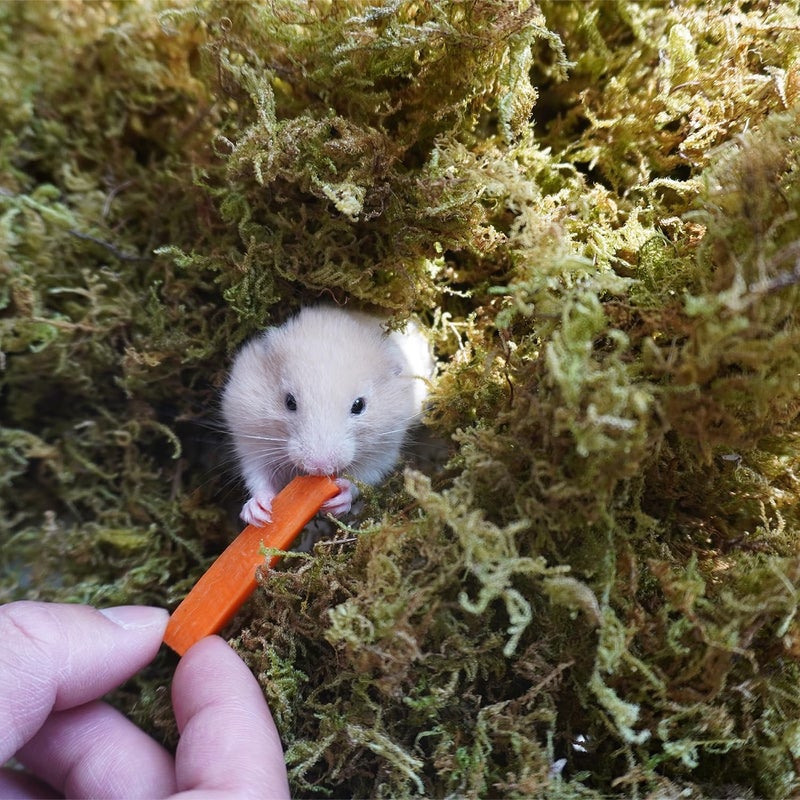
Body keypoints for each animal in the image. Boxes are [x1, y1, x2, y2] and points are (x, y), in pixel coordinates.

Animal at [221, 305, 433, 525]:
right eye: (289, 402)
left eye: (359, 405)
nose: (320, 468)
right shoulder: (250, 440)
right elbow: (258, 477)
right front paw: (259, 514)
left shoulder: (384, 451)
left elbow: (361, 478)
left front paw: (338, 501)